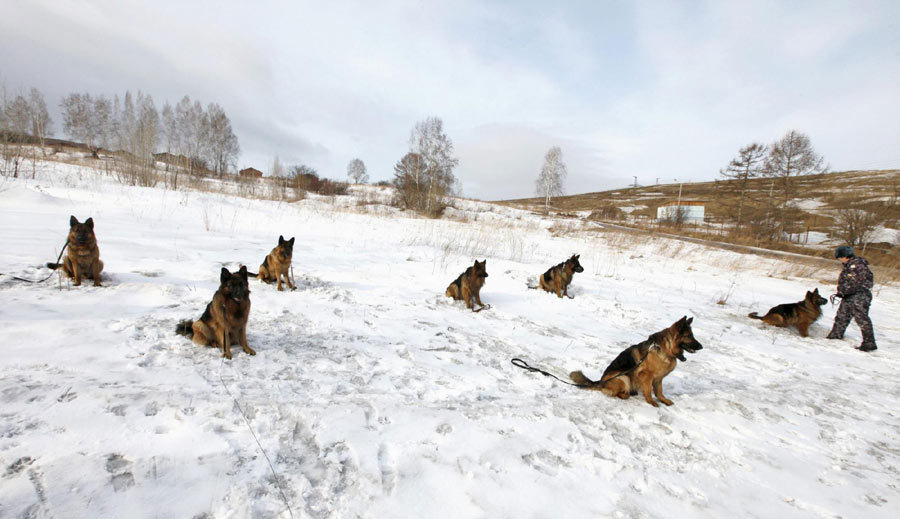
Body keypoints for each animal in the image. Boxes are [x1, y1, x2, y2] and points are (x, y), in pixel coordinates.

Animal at [568, 314, 704, 408]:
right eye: (689, 336)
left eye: (692, 335)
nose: (701, 347)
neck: (666, 348)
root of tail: (601, 382)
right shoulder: (646, 375)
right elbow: (648, 391)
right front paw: (651, 402)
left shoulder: (658, 378)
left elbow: (659, 392)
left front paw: (663, 400)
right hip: (623, 377)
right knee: (614, 392)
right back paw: (625, 394)